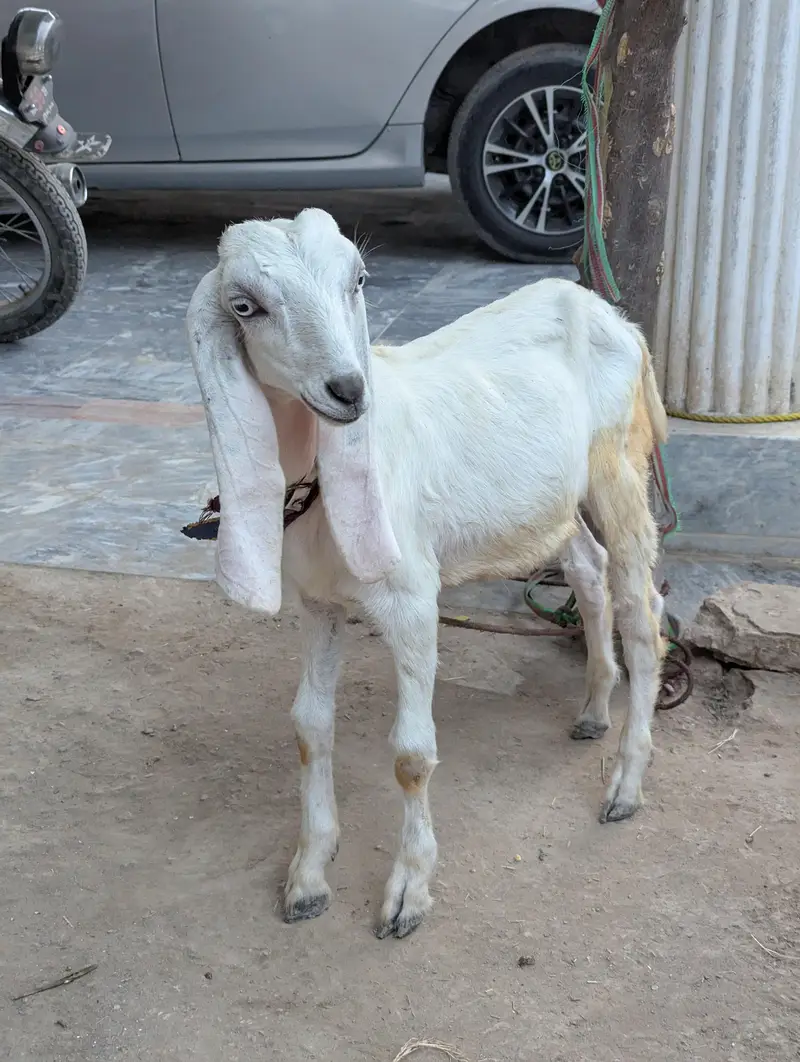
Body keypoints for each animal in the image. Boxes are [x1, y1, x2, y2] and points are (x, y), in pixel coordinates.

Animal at [187, 207, 668, 939]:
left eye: (358, 280)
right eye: (247, 306)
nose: (348, 390)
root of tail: (612, 316)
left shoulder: (412, 599)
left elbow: (412, 755)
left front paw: (407, 893)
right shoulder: (320, 604)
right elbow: (308, 728)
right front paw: (308, 876)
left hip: (619, 465)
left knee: (642, 610)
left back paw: (625, 787)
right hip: (552, 503)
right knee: (589, 569)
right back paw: (592, 710)